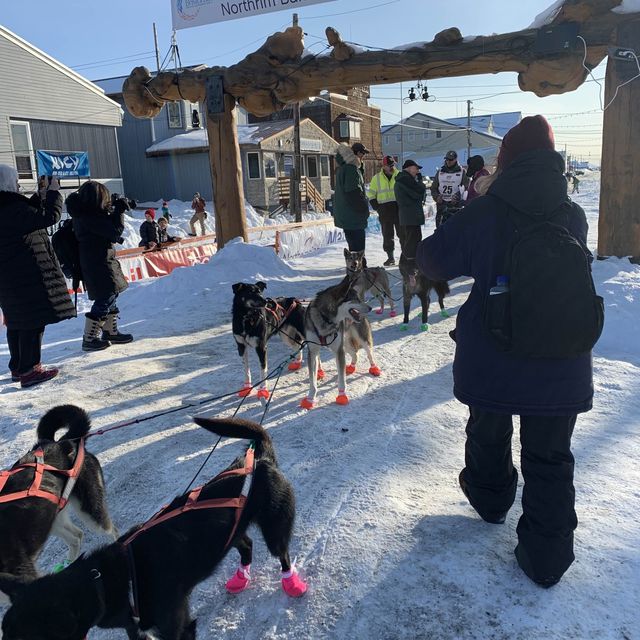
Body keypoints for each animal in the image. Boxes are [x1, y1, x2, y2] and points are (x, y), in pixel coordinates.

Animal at [302, 276, 380, 410]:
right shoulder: (313, 352)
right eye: (355, 299)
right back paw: (351, 367)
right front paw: (310, 398)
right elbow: (312, 380)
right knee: (355, 354)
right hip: (345, 344)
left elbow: (341, 379)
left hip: (360, 340)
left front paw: (342, 396)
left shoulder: (338, 351)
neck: (326, 319)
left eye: (359, 298)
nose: (370, 308)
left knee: (369, 354)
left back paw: (374, 368)